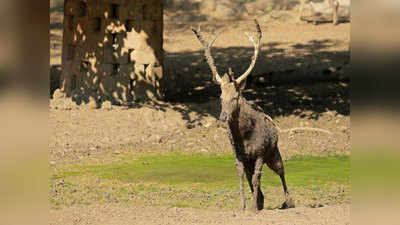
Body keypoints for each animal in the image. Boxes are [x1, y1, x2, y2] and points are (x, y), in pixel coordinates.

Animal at [192, 20, 296, 212]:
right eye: (220, 97)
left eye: (235, 97)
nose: (223, 117)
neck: (245, 136)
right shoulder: (239, 154)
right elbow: (241, 176)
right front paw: (244, 206)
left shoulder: (261, 152)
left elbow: (256, 178)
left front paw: (254, 207)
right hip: (254, 159)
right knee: (253, 178)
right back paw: (261, 201)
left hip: (273, 152)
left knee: (281, 171)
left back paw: (288, 201)